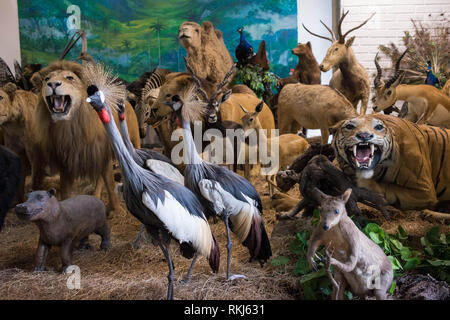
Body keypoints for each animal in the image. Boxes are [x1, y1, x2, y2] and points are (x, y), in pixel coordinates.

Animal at [30, 61, 139, 214]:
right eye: (47, 79)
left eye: (69, 78)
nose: (52, 84)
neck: (71, 127)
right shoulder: (66, 162)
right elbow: (66, 189)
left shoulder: (103, 153)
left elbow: (110, 184)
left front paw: (117, 210)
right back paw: (96, 195)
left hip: (134, 140)